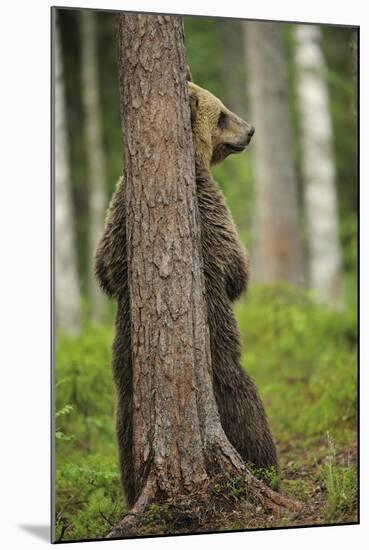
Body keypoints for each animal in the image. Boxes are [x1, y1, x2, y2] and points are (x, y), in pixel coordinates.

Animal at [94, 76, 276, 508]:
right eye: (223, 113)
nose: (250, 130)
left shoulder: (117, 212)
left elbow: (105, 268)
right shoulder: (209, 206)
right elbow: (234, 266)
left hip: (126, 385)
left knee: (125, 433)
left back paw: (132, 486)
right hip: (220, 360)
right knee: (245, 403)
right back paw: (267, 467)